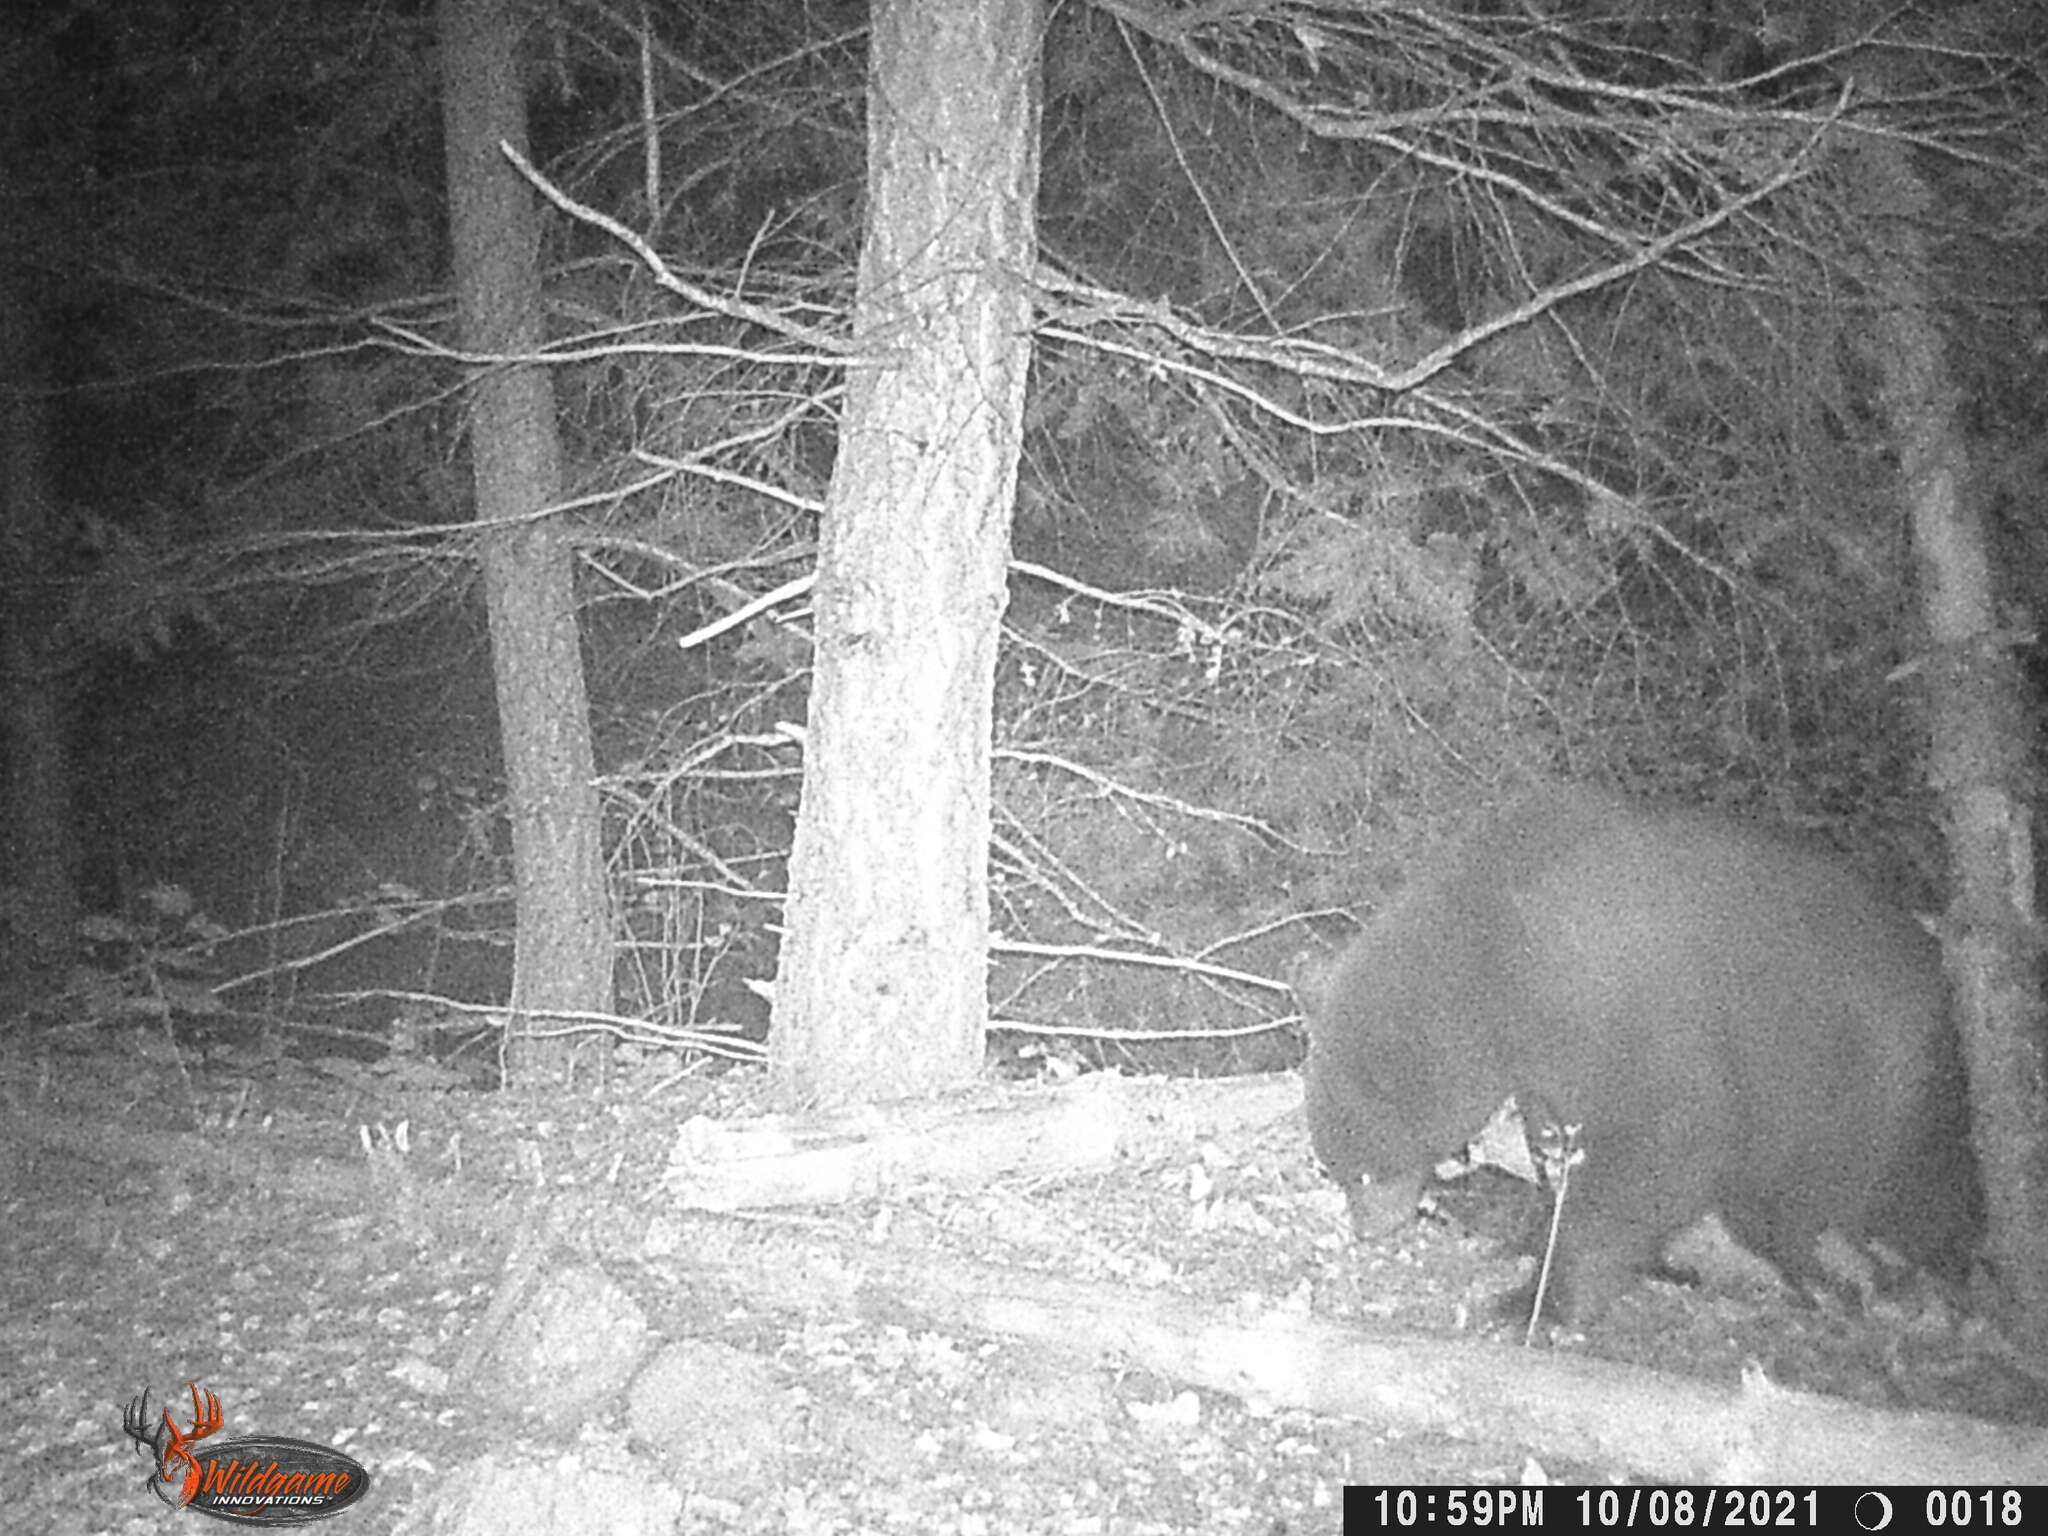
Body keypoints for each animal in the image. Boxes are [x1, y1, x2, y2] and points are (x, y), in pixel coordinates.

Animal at [1302, 786, 1974, 1327]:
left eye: (1360, 1170)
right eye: (1336, 1168)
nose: (1368, 1227)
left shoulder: (1627, 1004)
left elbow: (1662, 1144)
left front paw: (1541, 1298)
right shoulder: (1551, 1054)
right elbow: (1561, 1137)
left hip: (1865, 1088)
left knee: (1858, 1197)